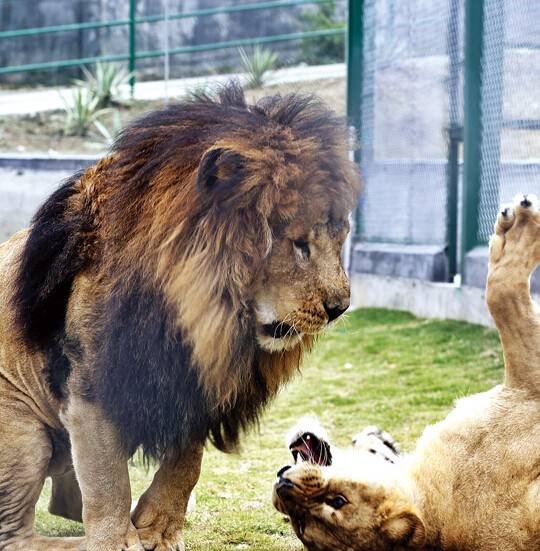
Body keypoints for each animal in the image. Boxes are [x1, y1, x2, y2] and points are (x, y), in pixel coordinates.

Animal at [1, 83, 362, 551]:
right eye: (299, 243)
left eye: (340, 238)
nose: (340, 307)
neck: (203, 316)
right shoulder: (92, 390)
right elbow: (109, 480)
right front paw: (120, 541)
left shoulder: (196, 385)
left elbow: (186, 464)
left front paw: (158, 528)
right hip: (24, 434)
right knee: (15, 533)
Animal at [274, 195, 540, 551]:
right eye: (300, 522)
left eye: (336, 502)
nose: (281, 485)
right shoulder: (527, 387)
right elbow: (502, 293)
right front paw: (520, 226)